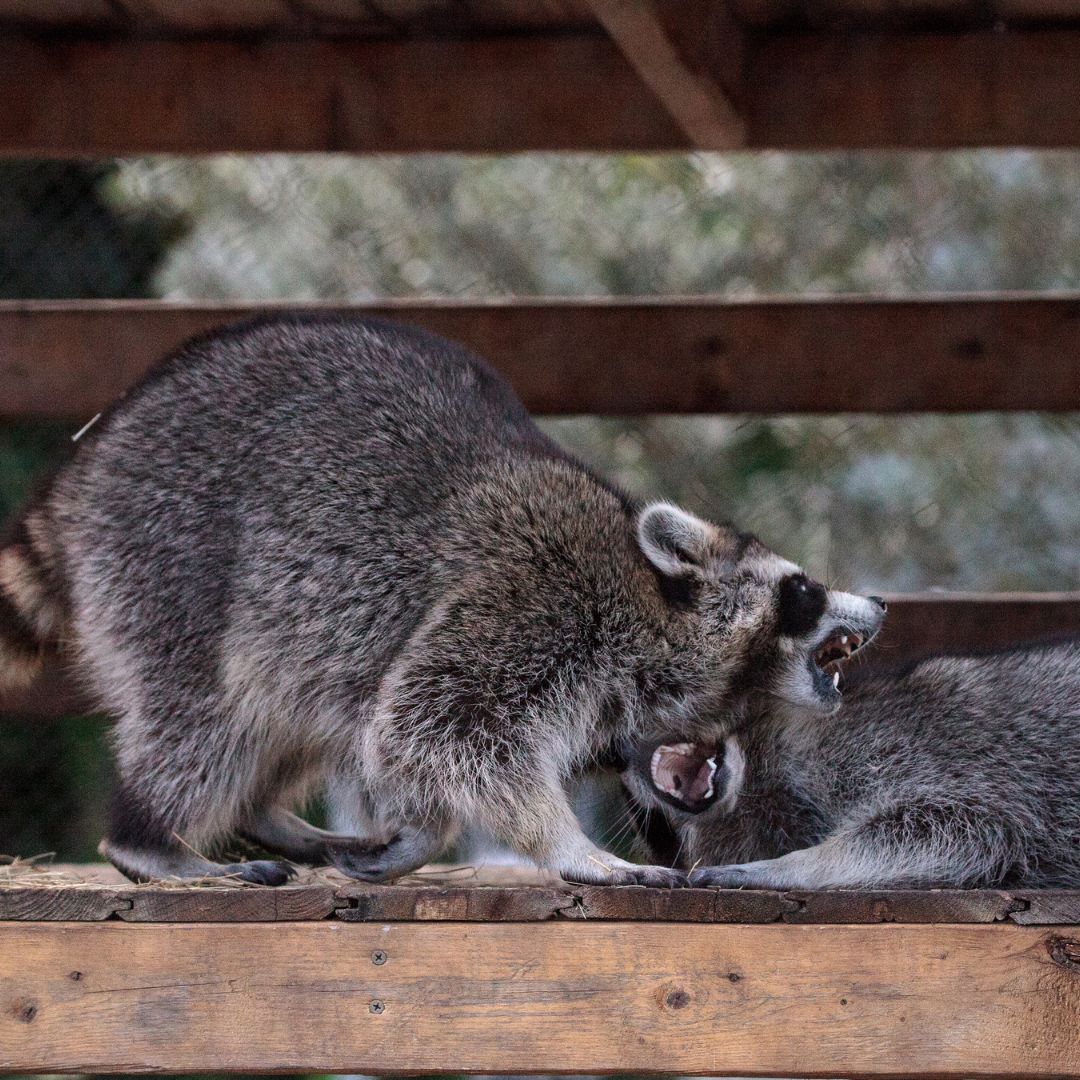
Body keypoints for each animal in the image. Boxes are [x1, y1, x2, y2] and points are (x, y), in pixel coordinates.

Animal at [0, 313, 868, 885]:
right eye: (802, 589)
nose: (879, 609)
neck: (652, 612)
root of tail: (88, 463)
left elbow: (399, 735)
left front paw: (423, 828)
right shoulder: (533, 601)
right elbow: (434, 723)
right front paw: (565, 846)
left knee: (296, 705)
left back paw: (262, 812)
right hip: (167, 558)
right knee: (204, 710)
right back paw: (150, 837)